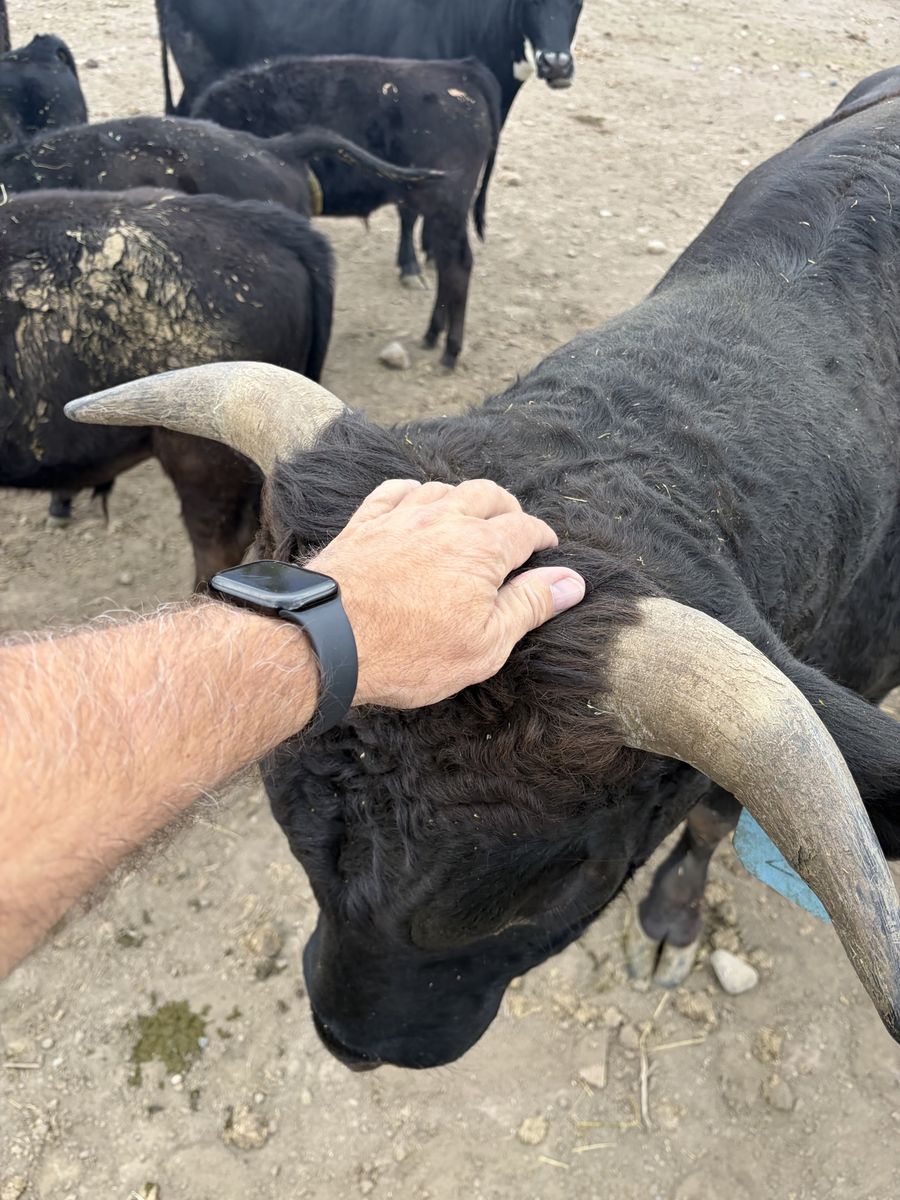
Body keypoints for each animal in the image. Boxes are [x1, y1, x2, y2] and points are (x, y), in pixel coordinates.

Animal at [193, 55, 500, 366]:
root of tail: (460, 71)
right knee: (448, 268)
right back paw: (433, 334)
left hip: (446, 210)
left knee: (458, 268)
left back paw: (450, 349)